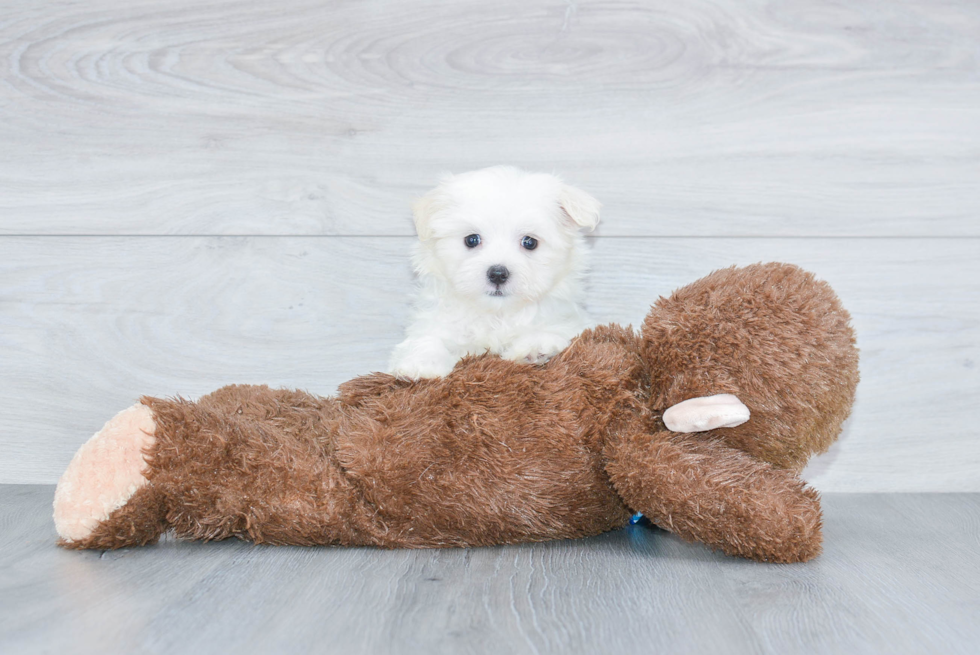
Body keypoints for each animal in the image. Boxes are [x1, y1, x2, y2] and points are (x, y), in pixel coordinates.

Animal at [386, 165, 600, 380]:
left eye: (529, 242)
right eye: (472, 239)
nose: (497, 274)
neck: (498, 315)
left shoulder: (574, 323)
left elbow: (559, 331)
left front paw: (535, 347)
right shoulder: (435, 322)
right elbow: (428, 337)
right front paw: (420, 363)